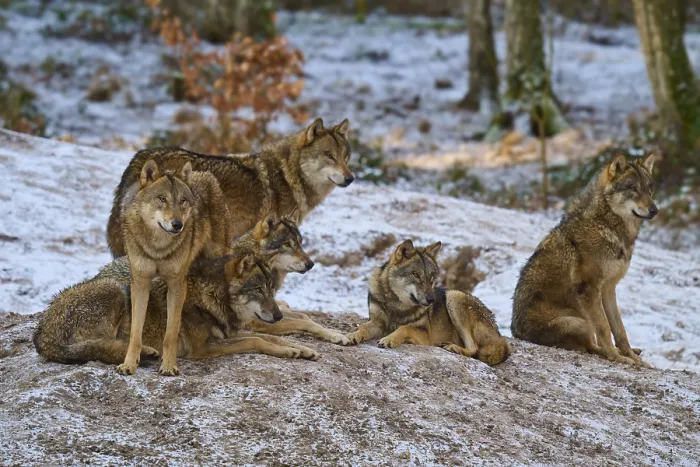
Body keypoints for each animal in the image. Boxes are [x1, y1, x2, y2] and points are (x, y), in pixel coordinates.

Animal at [33, 252, 319, 366]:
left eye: (271, 290)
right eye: (258, 290)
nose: (279, 315)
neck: (211, 296)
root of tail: (40, 333)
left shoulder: (228, 334)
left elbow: (270, 337)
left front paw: (300, 349)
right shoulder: (202, 349)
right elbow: (258, 341)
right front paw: (291, 350)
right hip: (116, 290)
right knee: (105, 347)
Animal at [118, 159, 232, 376]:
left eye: (183, 201)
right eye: (162, 199)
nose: (177, 224)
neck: (158, 249)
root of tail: (203, 174)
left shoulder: (177, 284)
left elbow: (171, 333)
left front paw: (169, 366)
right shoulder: (140, 283)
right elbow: (135, 333)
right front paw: (129, 364)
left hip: (217, 254)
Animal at [346, 240, 510, 365]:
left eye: (431, 276)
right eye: (415, 274)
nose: (431, 300)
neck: (397, 305)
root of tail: (498, 332)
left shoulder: (425, 335)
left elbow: (404, 328)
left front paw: (389, 339)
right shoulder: (377, 322)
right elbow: (363, 328)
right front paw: (351, 335)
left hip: (454, 296)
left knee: (474, 349)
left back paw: (453, 348)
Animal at [511, 153, 658, 368]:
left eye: (649, 188)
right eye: (632, 188)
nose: (655, 210)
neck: (607, 227)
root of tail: (517, 335)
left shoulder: (608, 289)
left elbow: (620, 330)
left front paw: (631, 355)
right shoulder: (589, 288)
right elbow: (605, 329)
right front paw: (619, 358)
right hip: (580, 322)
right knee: (590, 347)